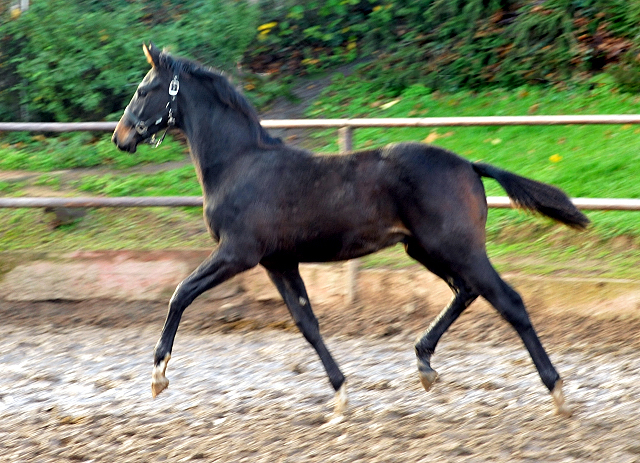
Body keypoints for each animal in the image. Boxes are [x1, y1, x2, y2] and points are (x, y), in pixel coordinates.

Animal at [112, 43, 588, 418]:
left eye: (143, 90)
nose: (120, 137)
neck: (239, 163)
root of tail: (469, 166)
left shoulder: (238, 253)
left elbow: (181, 293)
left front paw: (158, 375)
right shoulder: (278, 261)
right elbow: (307, 323)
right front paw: (340, 394)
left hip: (456, 247)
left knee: (509, 301)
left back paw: (557, 392)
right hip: (426, 249)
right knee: (466, 291)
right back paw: (425, 364)